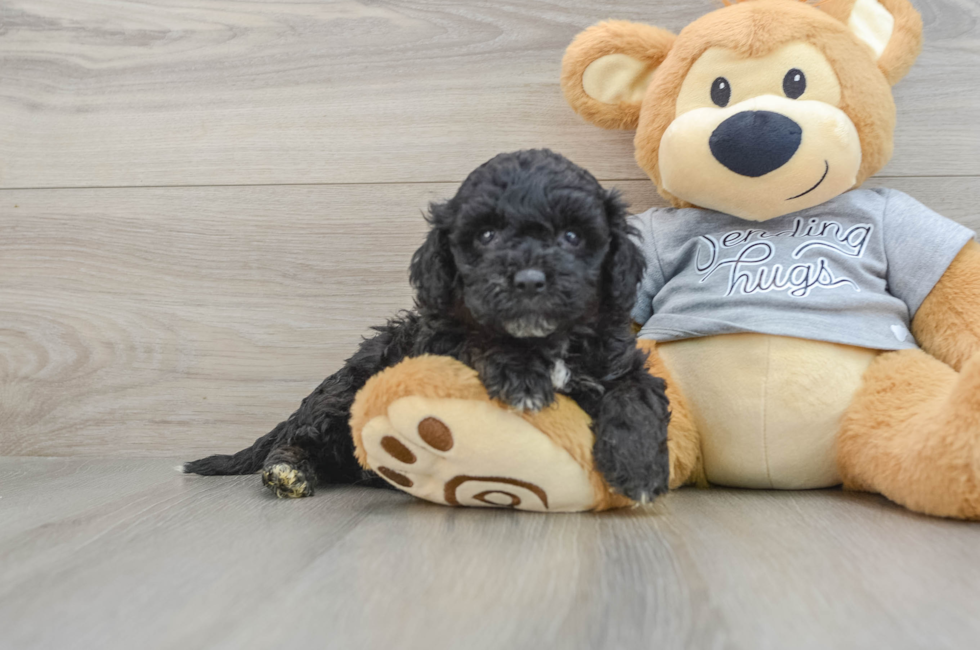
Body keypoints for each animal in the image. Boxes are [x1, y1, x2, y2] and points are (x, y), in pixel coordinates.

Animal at [185, 151, 668, 502]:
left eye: (572, 236)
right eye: (486, 235)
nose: (530, 280)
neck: (544, 339)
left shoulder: (618, 361)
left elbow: (635, 397)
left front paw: (640, 467)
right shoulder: (442, 347)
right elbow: (478, 340)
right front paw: (519, 373)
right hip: (345, 394)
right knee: (300, 438)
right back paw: (289, 471)